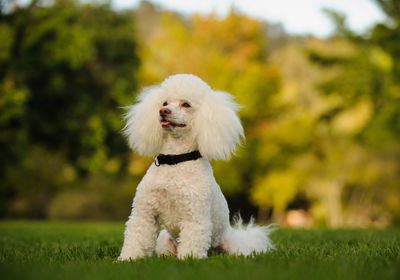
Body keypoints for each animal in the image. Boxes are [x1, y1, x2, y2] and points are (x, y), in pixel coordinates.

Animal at [118, 74, 276, 260]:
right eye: (164, 103)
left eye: (186, 104)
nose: (163, 111)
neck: (176, 160)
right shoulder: (145, 213)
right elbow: (137, 238)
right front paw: (128, 259)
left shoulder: (194, 217)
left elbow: (191, 244)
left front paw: (188, 259)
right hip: (164, 240)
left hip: (233, 247)